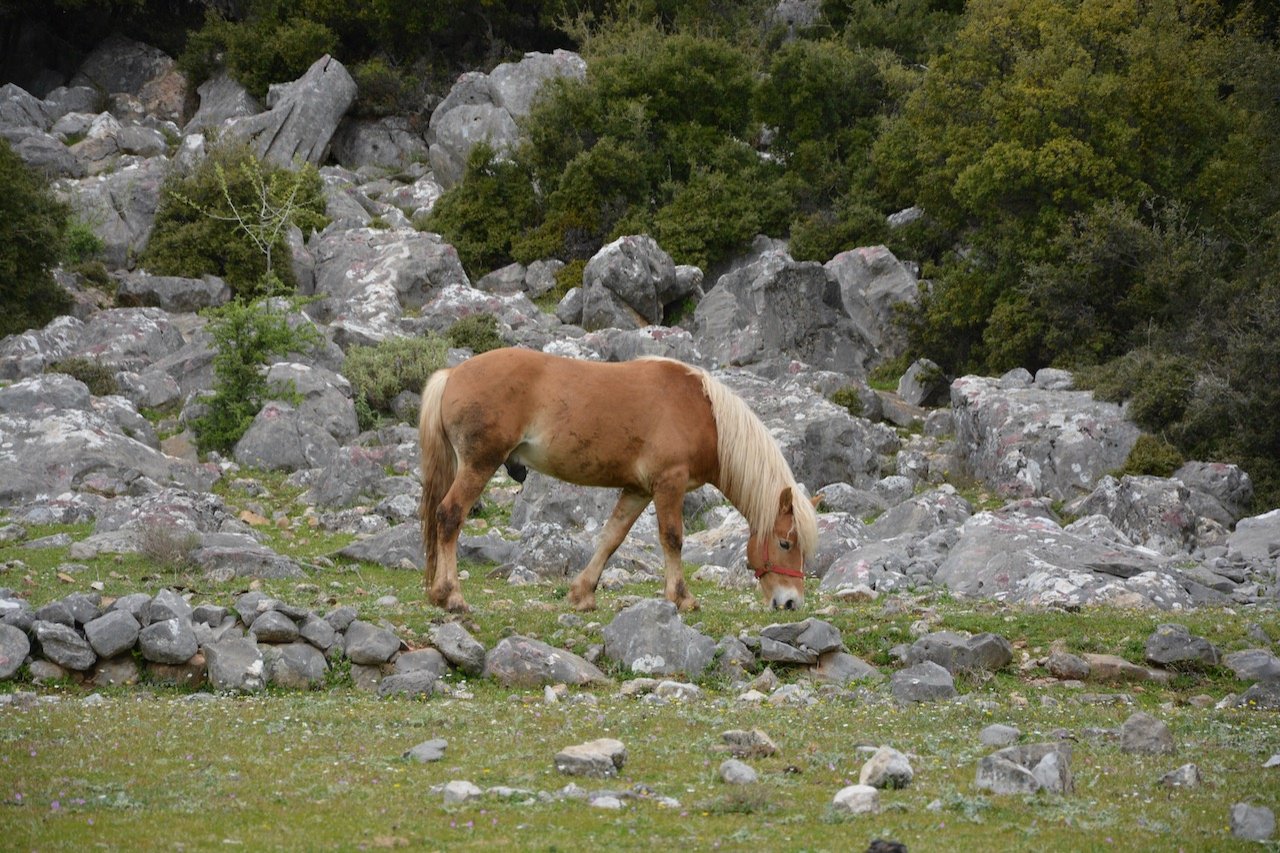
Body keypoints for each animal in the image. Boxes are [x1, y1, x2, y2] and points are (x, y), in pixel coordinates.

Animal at [419, 345, 819, 612]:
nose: (791, 602)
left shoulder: (638, 490)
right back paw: (451, 596)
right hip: (478, 466)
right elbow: (672, 539)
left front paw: (582, 593)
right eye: (785, 543)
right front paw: (682, 598)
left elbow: (612, 537)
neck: (705, 415)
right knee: (449, 516)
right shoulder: (668, 484)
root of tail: (451, 374)